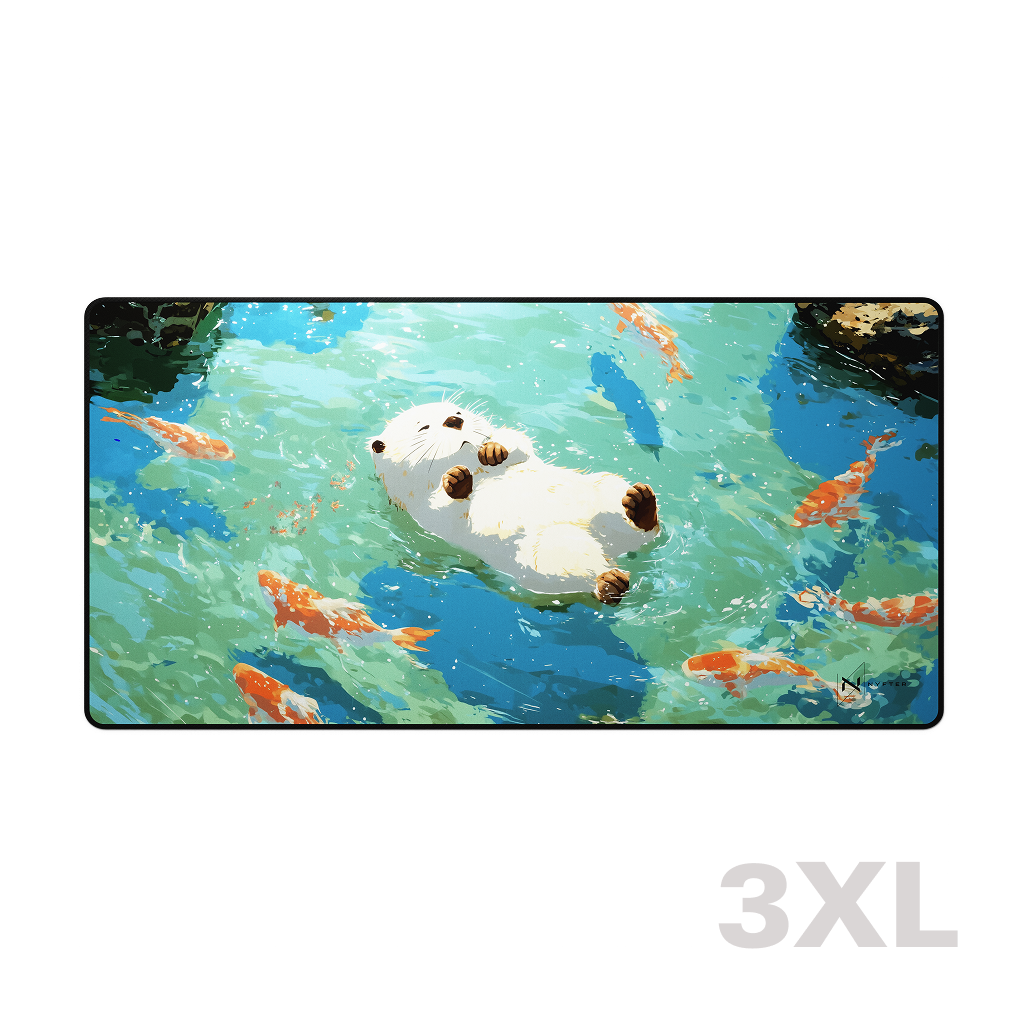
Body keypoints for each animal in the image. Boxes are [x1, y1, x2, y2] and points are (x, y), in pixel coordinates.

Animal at [367, 400, 660, 604]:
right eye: (423, 427)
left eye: (459, 411)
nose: (454, 420)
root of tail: (610, 547)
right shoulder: (419, 509)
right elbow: (442, 511)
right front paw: (455, 479)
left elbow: (518, 442)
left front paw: (493, 450)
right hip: (546, 552)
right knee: (579, 572)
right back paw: (609, 582)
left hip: (603, 488)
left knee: (644, 527)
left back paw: (640, 504)